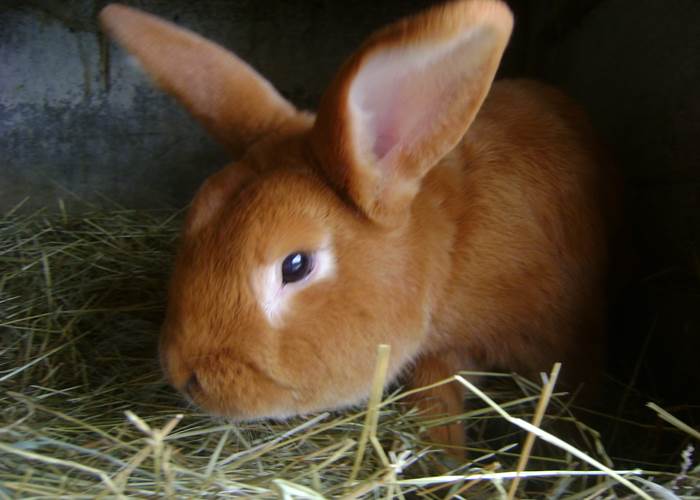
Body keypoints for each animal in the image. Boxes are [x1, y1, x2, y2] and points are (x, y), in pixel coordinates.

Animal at [100, 0, 616, 451]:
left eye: (295, 265)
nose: (183, 374)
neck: (453, 246)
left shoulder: (567, 341)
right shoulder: (436, 358)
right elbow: (438, 413)